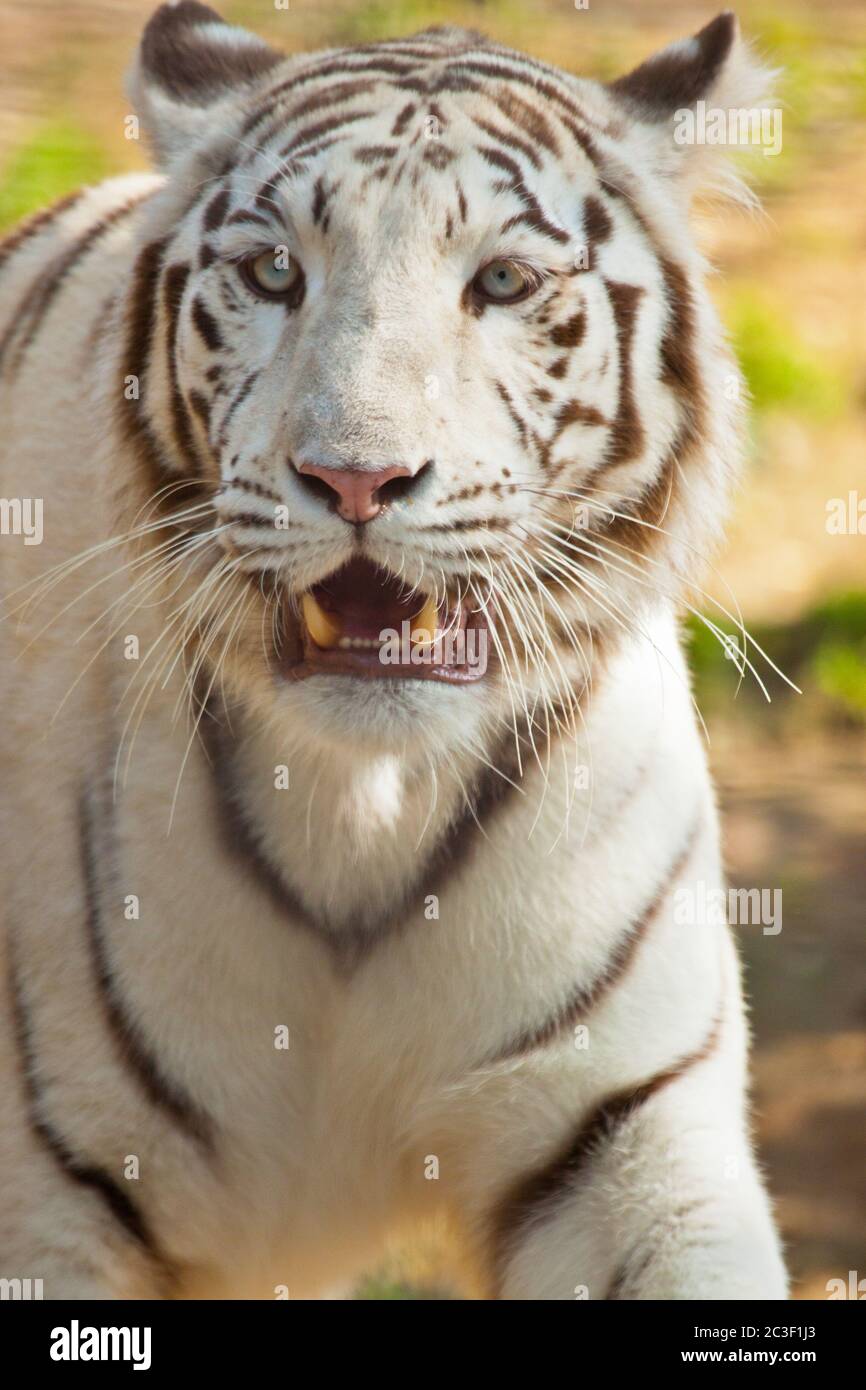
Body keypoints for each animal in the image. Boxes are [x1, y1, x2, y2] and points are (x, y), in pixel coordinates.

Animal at [0, 2, 783, 1301]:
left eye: (502, 282)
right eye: (275, 272)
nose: (355, 477)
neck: (363, 799)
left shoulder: (621, 1132)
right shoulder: (49, 1189)